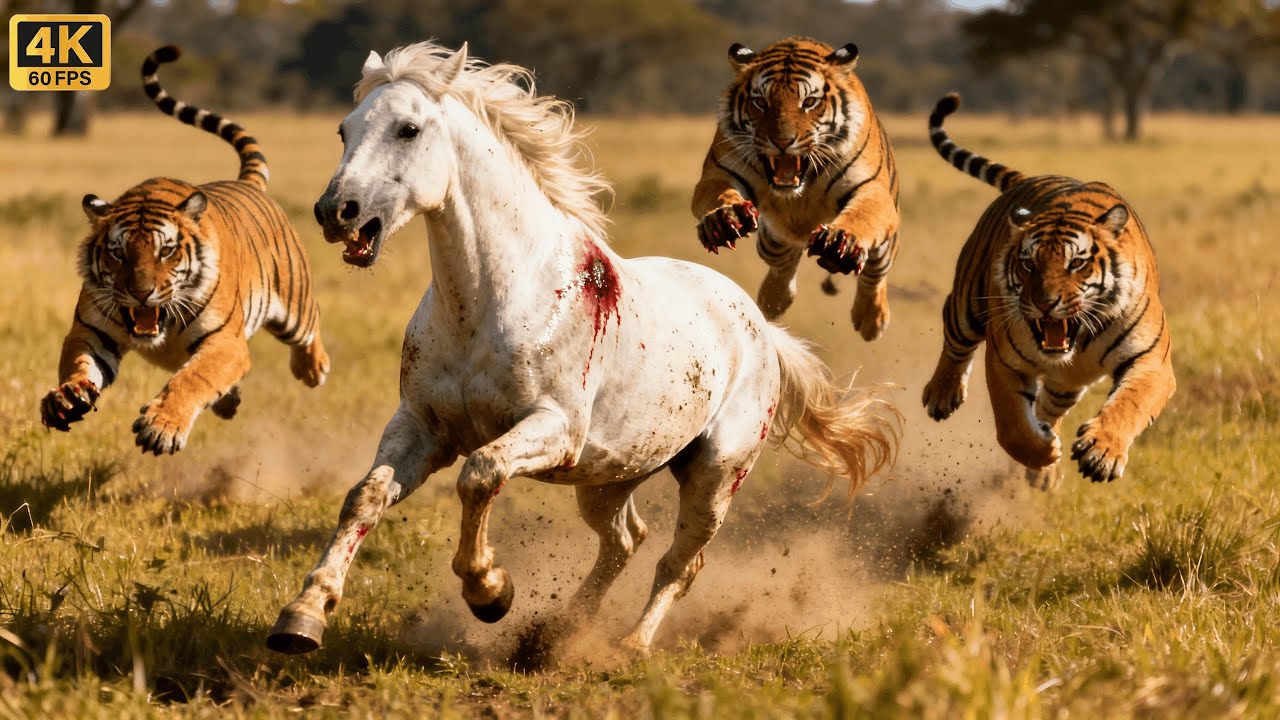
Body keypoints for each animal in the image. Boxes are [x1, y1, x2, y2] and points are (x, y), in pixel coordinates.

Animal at [267, 41, 899, 657]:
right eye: (345, 130)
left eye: (408, 129)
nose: (335, 211)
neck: (490, 303)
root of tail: (762, 330)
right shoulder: (422, 425)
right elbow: (364, 498)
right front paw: (302, 617)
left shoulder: (555, 429)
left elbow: (479, 473)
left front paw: (490, 591)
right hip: (610, 477)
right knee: (625, 541)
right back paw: (554, 635)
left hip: (715, 473)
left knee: (680, 562)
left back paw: (630, 644)